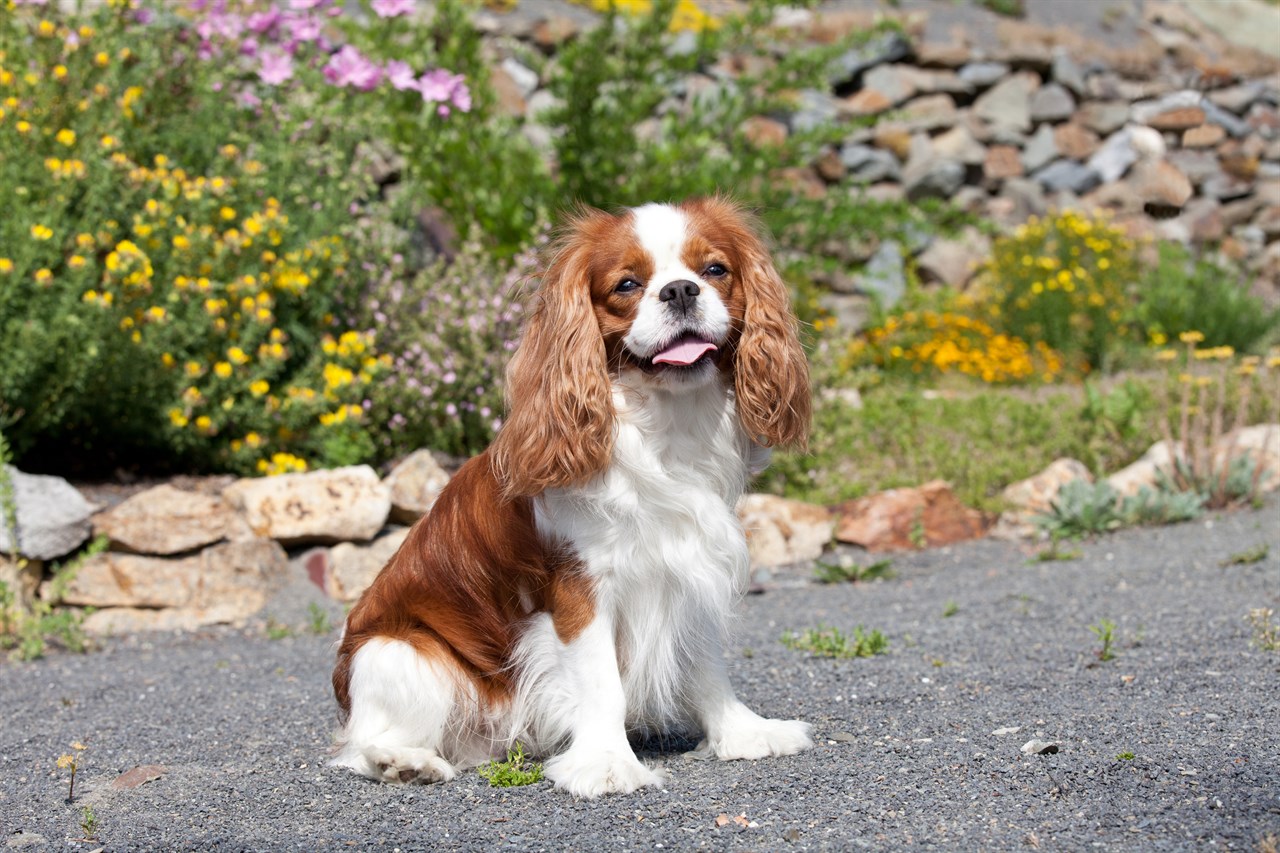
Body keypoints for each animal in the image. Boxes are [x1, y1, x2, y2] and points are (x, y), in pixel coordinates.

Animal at [330, 195, 808, 794]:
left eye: (715, 270)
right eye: (627, 284)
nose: (680, 290)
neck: (664, 426)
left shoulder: (689, 564)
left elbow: (706, 665)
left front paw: (742, 733)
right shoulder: (579, 587)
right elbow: (602, 682)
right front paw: (606, 763)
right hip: (397, 654)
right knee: (360, 746)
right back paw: (405, 762)